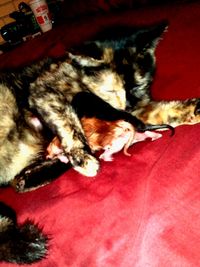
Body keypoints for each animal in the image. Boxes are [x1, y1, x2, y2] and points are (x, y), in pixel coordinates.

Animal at [0, 21, 200, 264]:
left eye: (138, 85)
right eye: (111, 89)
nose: (129, 104)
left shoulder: (137, 110)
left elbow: (165, 111)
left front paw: (195, 109)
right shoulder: (43, 90)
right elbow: (67, 120)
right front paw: (82, 157)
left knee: (17, 183)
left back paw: (29, 179)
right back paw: (27, 244)